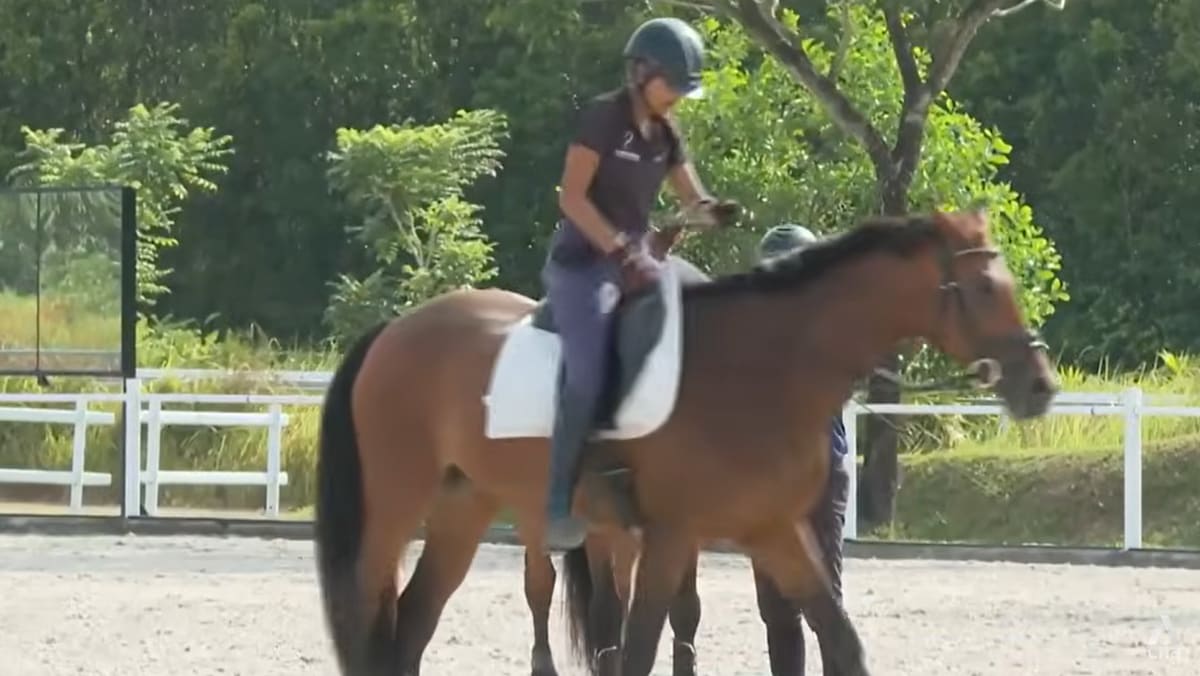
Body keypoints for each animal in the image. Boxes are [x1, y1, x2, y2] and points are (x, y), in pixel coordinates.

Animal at [313, 207, 1058, 676]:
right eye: (984, 288)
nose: (1041, 385)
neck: (764, 364)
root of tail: (396, 329)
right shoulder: (669, 537)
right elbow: (638, 651)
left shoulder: (773, 531)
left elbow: (838, 640)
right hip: (394, 509)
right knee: (368, 614)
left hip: (462, 509)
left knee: (410, 628)